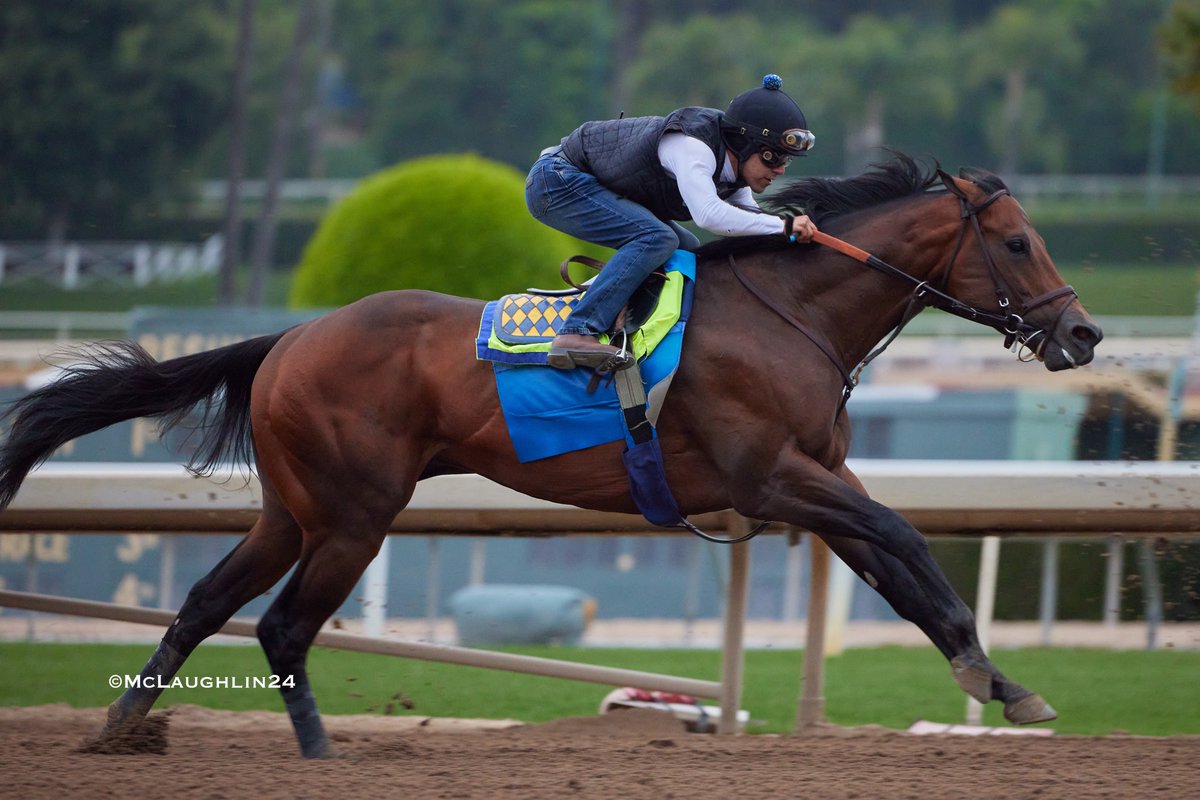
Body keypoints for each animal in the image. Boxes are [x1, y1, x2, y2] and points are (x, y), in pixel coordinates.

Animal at [0, 153, 1099, 762]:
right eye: (1015, 242)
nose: (1083, 334)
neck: (790, 312)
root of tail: (290, 337)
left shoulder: (819, 482)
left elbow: (902, 571)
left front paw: (1000, 680)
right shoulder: (773, 478)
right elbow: (906, 539)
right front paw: (992, 676)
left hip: (293, 509)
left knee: (204, 604)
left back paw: (120, 730)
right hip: (355, 515)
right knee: (280, 627)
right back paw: (318, 753)